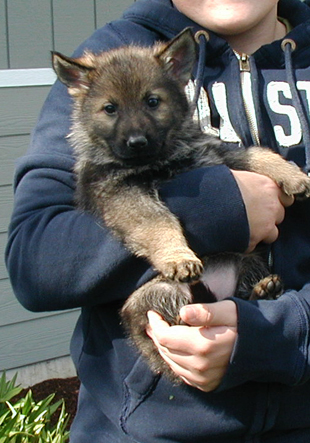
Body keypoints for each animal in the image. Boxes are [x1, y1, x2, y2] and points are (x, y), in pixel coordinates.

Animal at [52, 28, 310, 382]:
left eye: (152, 101)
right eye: (110, 109)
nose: (137, 142)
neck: (159, 159)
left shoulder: (218, 155)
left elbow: (257, 154)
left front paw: (293, 176)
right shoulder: (124, 194)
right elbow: (157, 221)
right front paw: (178, 255)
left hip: (248, 259)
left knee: (240, 295)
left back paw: (264, 289)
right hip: (158, 295)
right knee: (185, 312)